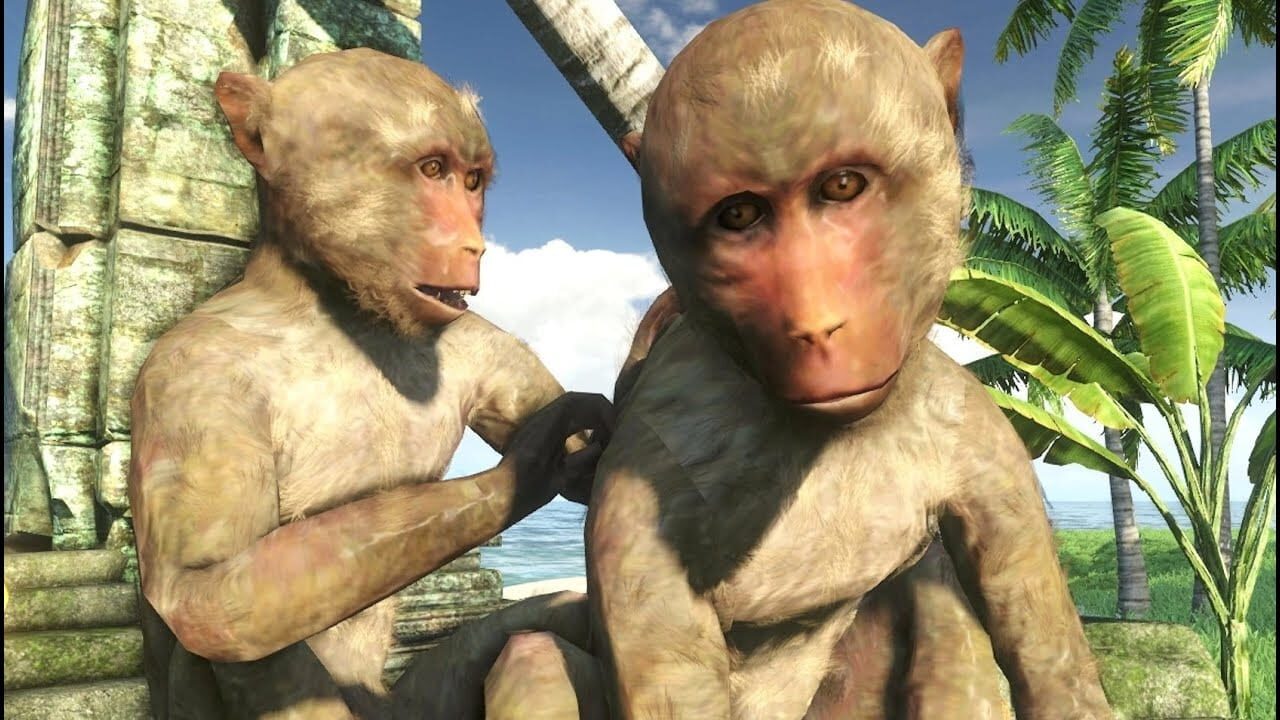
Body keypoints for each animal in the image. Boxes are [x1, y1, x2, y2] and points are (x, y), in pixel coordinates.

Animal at [127, 48, 614, 719]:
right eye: (432, 169)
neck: (334, 309)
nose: (474, 245)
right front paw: (532, 463)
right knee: (236, 624)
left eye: (472, 181)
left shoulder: (478, 339)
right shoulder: (190, 374)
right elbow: (207, 587)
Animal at [479, 3, 1114, 719]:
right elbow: (657, 635)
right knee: (534, 659)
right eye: (739, 216)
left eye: (842, 186)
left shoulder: (972, 432)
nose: (814, 322)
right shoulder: (670, 431)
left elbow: (1043, 648)